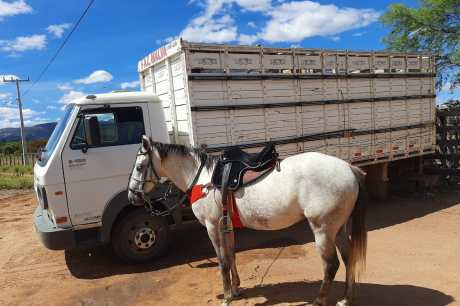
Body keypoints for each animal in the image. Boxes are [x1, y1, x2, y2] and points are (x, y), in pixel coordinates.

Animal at [127, 137, 368, 306]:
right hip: (338, 228)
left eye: (139, 167)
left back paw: (320, 299)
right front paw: (236, 289)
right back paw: (346, 298)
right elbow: (231, 255)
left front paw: (226, 296)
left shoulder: (213, 226)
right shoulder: (227, 227)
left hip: (323, 229)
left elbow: (222, 261)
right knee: (348, 258)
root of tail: (349, 169)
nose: (132, 196)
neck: (203, 179)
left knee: (331, 264)